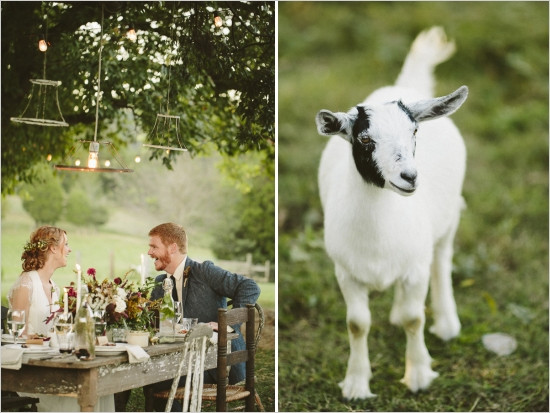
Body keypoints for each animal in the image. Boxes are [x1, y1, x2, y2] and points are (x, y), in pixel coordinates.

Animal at [320, 26, 470, 400]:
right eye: (364, 140)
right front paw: (356, 383)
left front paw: (417, 375)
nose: (410, 177)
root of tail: (407, 86)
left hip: (447, 221)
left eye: (414, 132)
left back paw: (447, 323)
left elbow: (415, 319)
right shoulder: (346, 272)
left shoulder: (415, 268)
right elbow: (357, 324)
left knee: (441, 259)